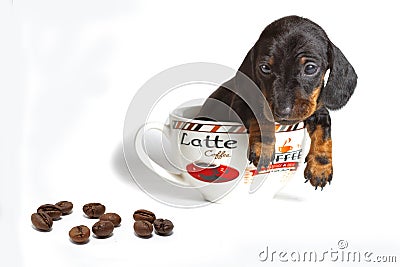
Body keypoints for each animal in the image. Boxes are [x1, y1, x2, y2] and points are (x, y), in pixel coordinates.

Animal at [198, 15, 358, 191]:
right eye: (265, 67)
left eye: (310, 68)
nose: (283, 111)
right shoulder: (241, 104)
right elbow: (260, 117)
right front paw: (263, 146)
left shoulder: (319, 111)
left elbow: (324, 135)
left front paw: (320, 167)